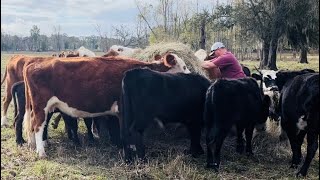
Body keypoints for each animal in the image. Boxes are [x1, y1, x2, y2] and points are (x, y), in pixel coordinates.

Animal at [24, 53, 190, 158]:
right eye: (183, 66)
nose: (191, 76)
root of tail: (35, 61)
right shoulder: (123, 109)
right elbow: (125, 132)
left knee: (32, 123)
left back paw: (33, 145)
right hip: (41, 106)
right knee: (38, 125)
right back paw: (41, 152)